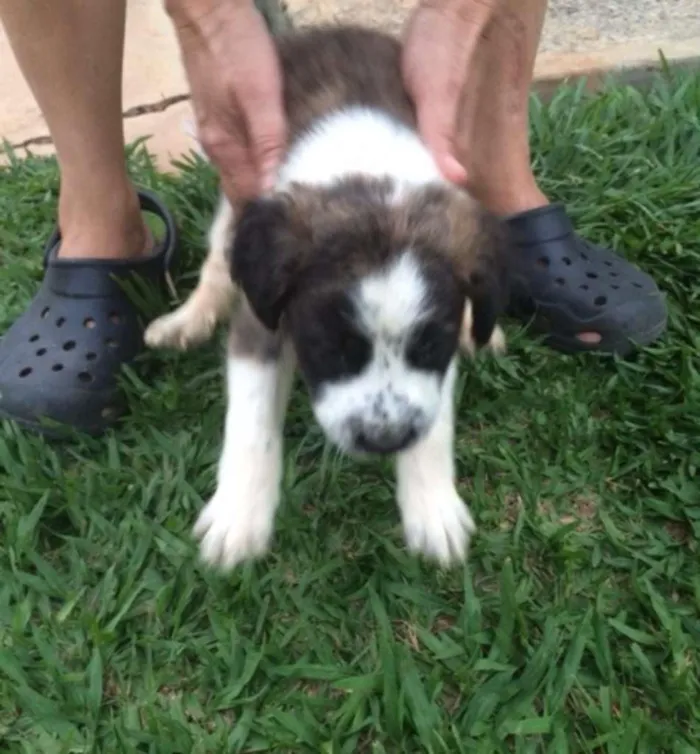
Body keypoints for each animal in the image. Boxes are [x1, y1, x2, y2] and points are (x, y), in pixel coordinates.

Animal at [146, 26, 508, 568]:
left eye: (428, 346)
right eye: (329, 348)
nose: (384, 440)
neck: (369, 180)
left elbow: (435, 415)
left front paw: (433, 507)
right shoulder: (263, 310)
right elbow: (251, 419)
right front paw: (238, 518)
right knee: (217, 261)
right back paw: (187, 319)